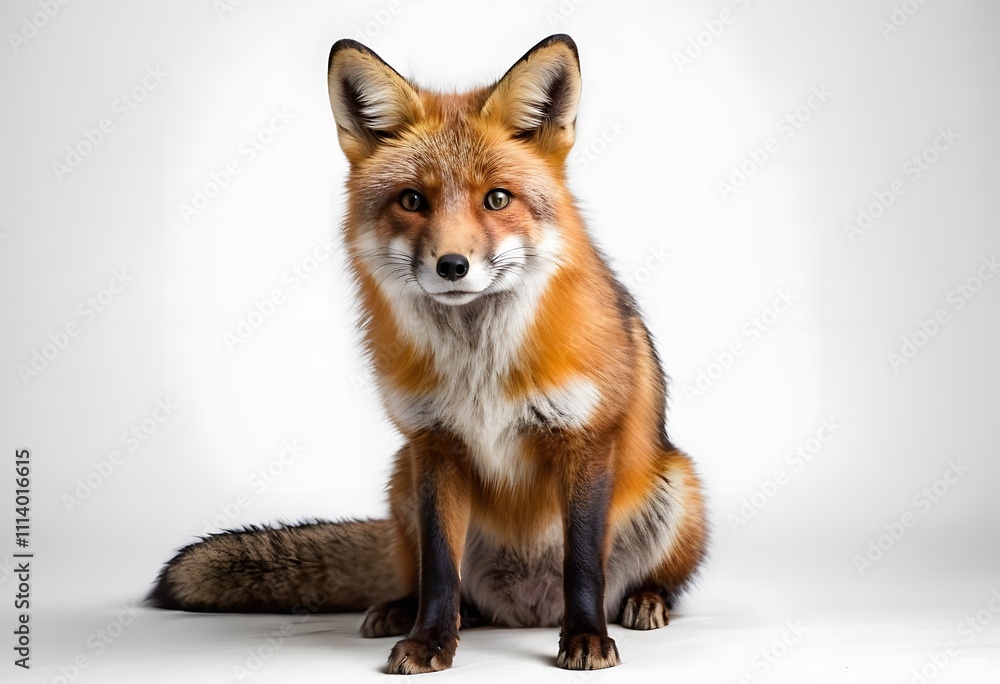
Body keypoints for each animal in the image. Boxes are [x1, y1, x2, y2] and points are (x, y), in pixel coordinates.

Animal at [150, 34, 708, 673]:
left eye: (497, 199)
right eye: (413, 200)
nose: (452, 266)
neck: (479, 368)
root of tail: (528, 612)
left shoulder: (585, 440)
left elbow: (583, 564)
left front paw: (587, 638)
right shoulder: (435, 446)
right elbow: (440, 570)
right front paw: (430, 642)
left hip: (678, 485)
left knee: (643, 579)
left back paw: (646, 600)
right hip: (402, 479)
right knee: (435, 582)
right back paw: (406, 609)